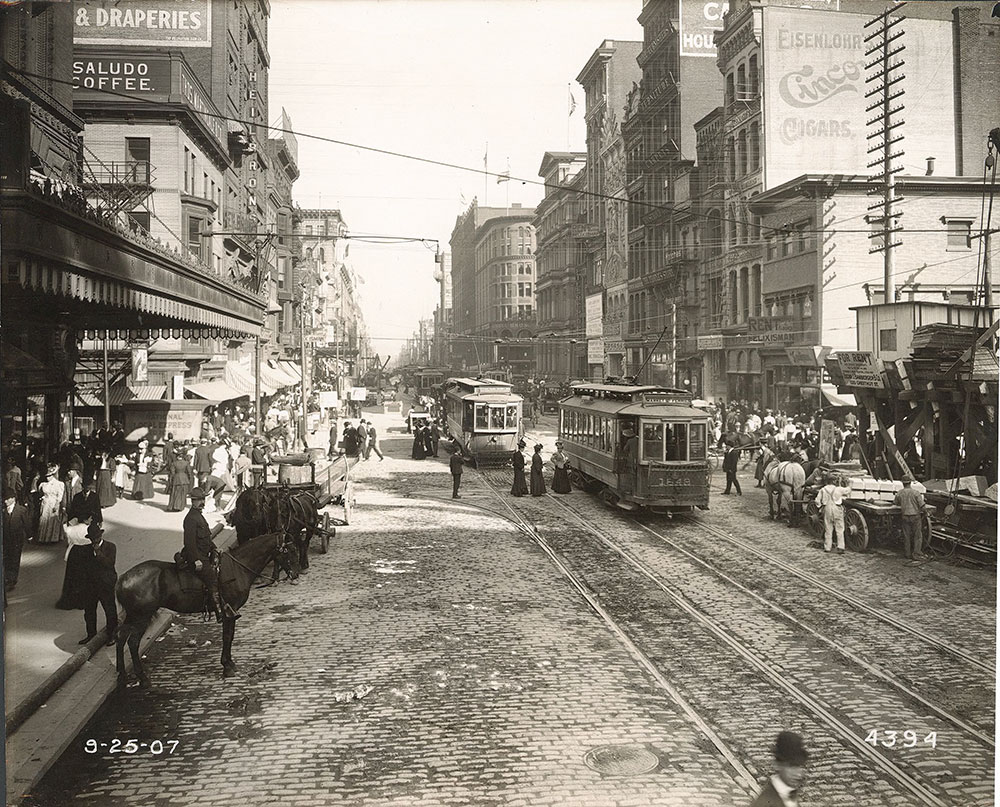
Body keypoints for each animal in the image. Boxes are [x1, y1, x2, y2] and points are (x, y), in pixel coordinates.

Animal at [113, 532, 294, 688]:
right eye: (289, 550)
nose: (295, 573)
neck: (238, 568)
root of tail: (122, 579)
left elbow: (230, 637)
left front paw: (229, 663)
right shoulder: (229, 612)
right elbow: (227, 637)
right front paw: (227, 666)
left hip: (132, 616)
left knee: (120, 637)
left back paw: (122, 677)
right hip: (141, 617)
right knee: (133, 642)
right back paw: (142, 678)